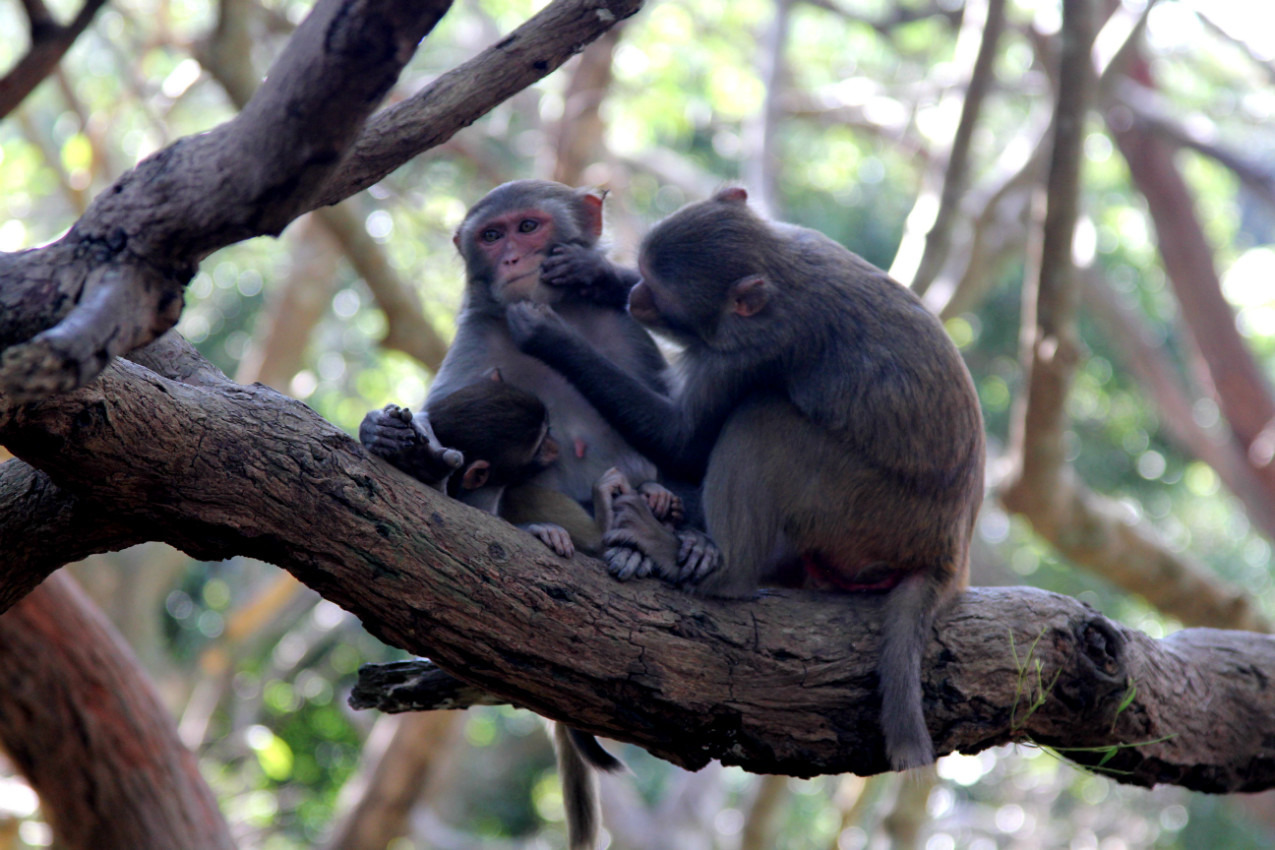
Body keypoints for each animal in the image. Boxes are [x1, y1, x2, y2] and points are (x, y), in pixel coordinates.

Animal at [507, 189, 984, 774]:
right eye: (644, 273)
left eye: (659, 291)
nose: (637, 294)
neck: (782, 270)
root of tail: (948, 556)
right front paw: (593, 273)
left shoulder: (756, 346)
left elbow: (685, 442)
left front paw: (549, 335)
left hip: (870, 516)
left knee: (761, 418)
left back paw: (716, 570)